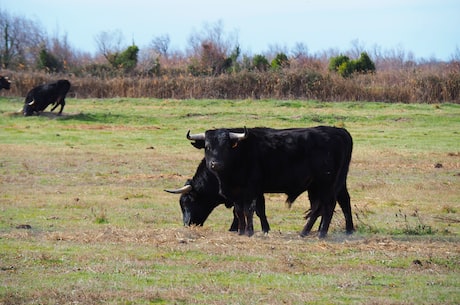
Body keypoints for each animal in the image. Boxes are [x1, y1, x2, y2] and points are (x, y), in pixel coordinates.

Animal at [187, 124, 356, 236]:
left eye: (226, 146)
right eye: (207, 146)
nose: (215, 164)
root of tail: (338, 131)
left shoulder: (251, 189)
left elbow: (250, 210)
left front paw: (250, 231)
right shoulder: (238, 192)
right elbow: (241, 211)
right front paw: (242, 231)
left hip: (326, 184)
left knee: (328, 205)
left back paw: (322, 233)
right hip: (320, 186)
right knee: (325, 205)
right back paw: (309, 232)